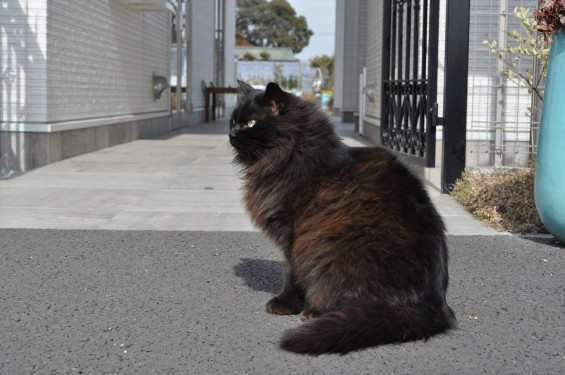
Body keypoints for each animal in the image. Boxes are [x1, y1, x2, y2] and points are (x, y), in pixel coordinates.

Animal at [229, 80, 454, 356]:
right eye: (233, 121)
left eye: (249, 124)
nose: (231, 134)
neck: (292, 154)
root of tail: (433, 307)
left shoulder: (293, 234)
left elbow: (291, 274)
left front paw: (284, 304)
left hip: (330, 248)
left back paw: (314, 312)